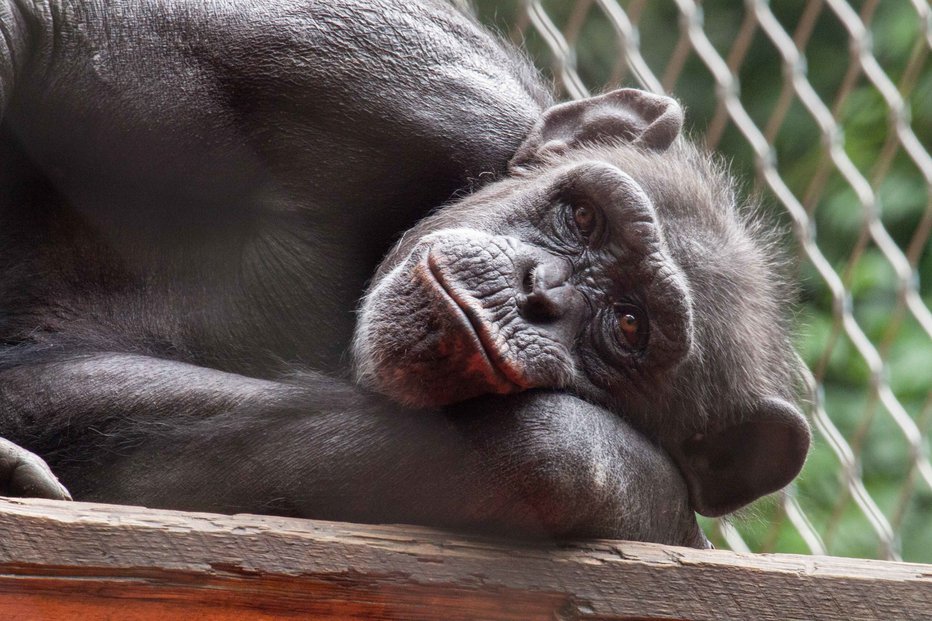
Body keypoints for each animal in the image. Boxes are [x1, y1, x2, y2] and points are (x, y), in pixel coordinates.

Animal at [0, 0, 808, 548]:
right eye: (582, 219)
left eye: (631, 325)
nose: (539, 290)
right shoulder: (405, 72)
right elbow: (73, 24)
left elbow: (563, 451)